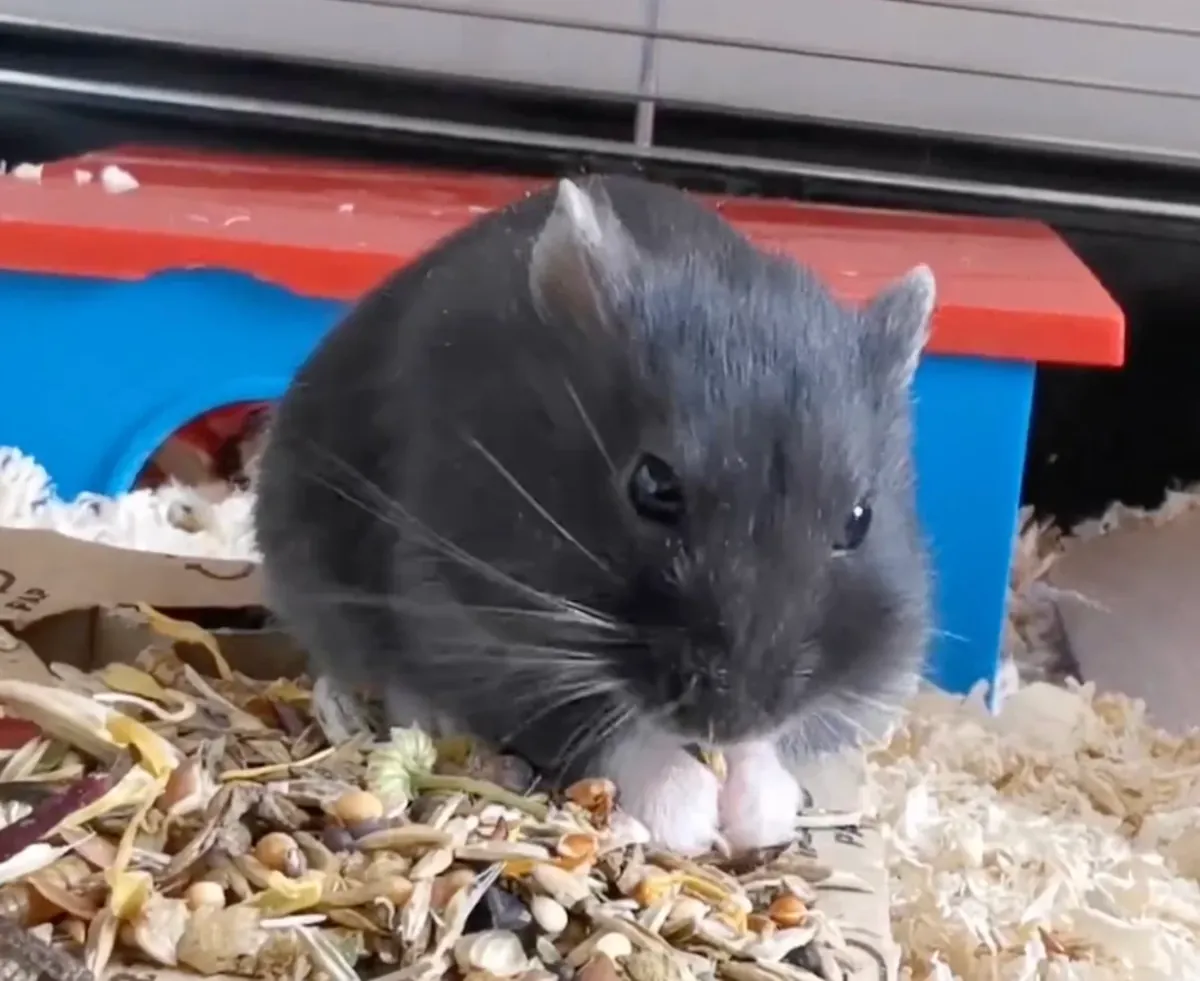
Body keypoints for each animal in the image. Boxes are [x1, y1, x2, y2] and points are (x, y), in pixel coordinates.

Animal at [253, 174, 936, 855]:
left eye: (859, 519)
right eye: (653, 484)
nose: (726, 724)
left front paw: (757, 814)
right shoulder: (467, 627)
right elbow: (600, 729)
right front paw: (691, 817)